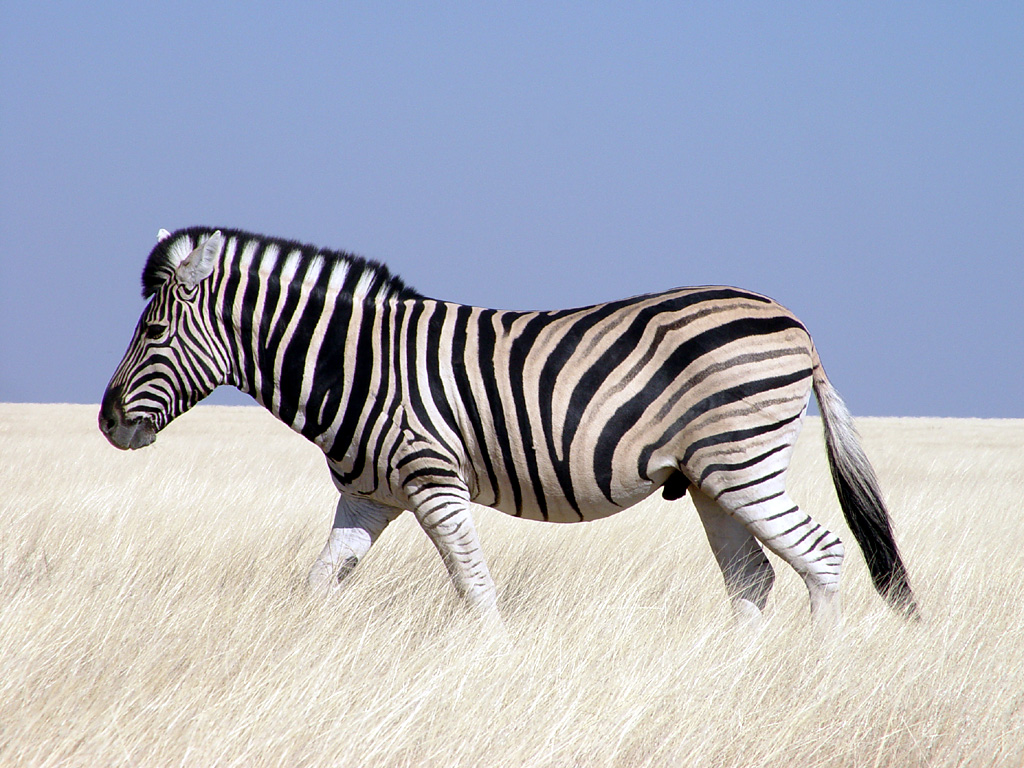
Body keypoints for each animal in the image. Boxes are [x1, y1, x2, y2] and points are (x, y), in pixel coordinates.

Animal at [100, 226, 918, 626]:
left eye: (154, 331)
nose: (107, 423)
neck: (355, 361)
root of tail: (796, 325)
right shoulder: (369, 496)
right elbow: (321, 583)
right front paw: (307, 653)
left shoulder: (432, 479)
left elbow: (475, 588)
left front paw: (485, 665)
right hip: (710, 477)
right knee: (753, 580)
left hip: (741, 463)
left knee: (823, 557)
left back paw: (816, 680)